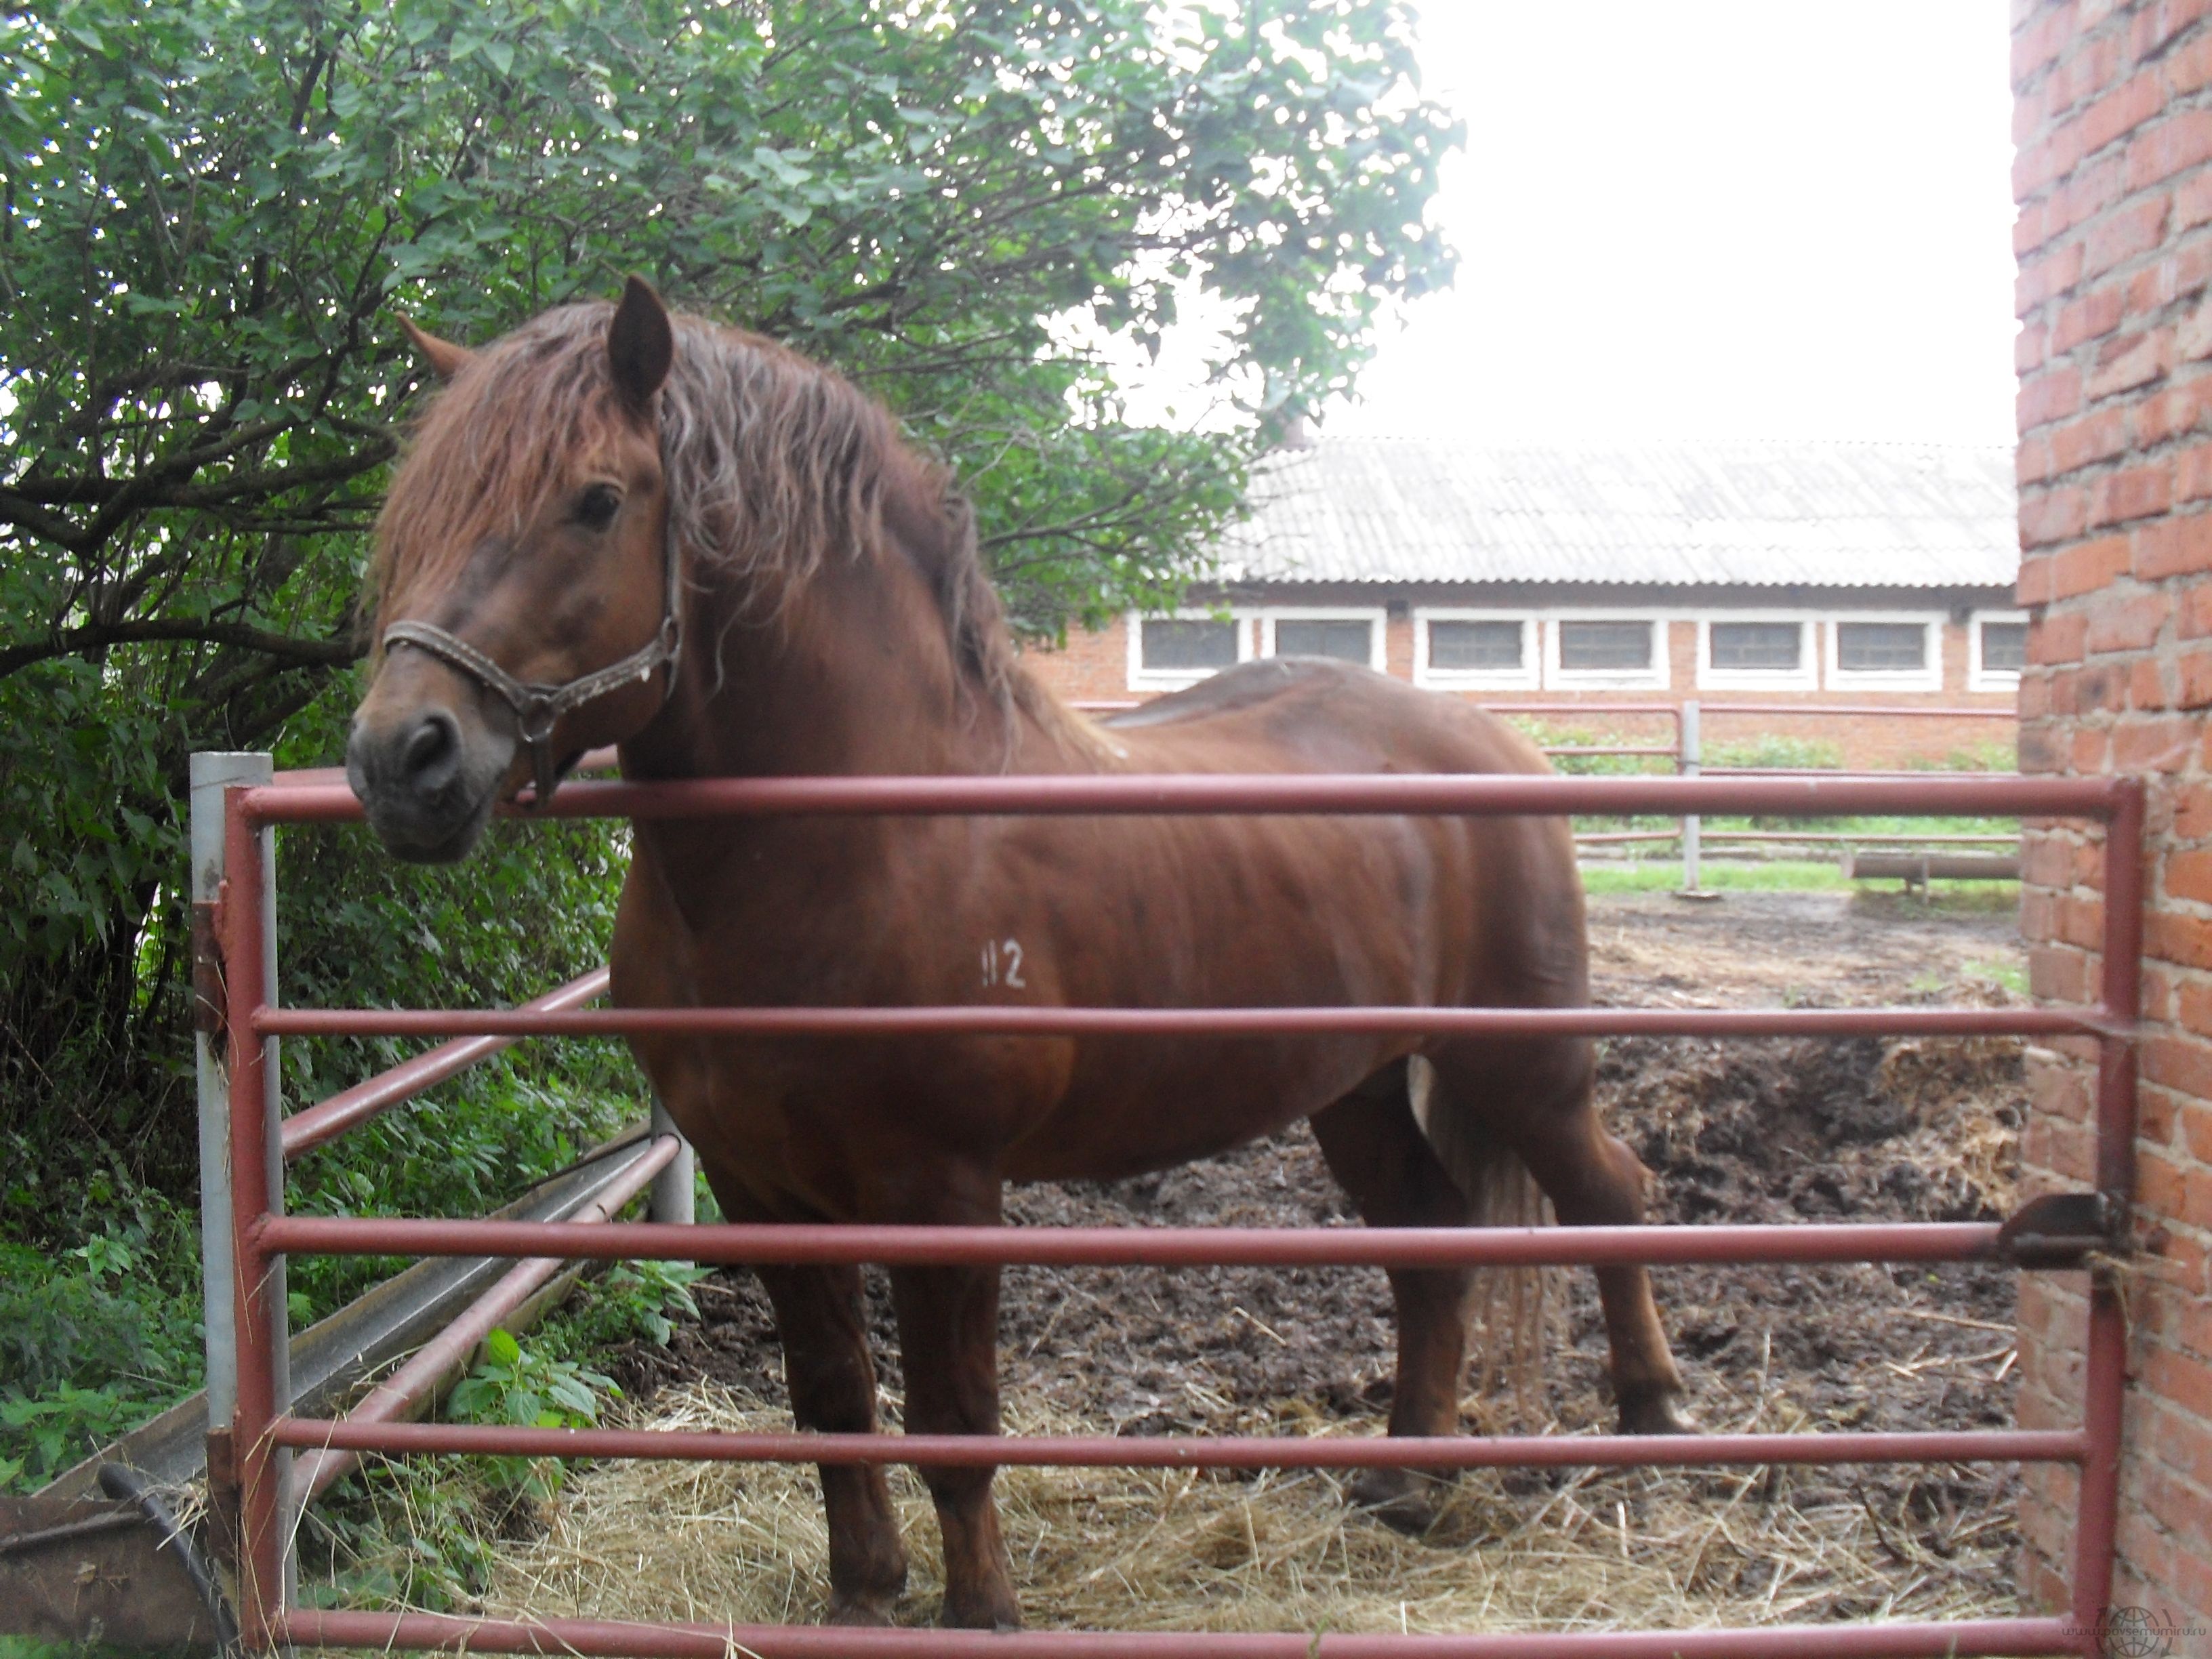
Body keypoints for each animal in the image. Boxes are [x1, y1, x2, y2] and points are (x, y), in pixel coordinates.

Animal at [349, 279, 1689, 1628]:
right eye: (413, 513)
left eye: (596, 499)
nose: (398, 759)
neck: (864, 833)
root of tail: (1489, 739)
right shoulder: (758, 1182)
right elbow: (832, 1396)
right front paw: (862, 1593)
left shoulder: (942, 1189)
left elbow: (953, 1419)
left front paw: (980, 1607)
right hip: (1353, 1085)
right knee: (1432, 1243)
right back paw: (1407, 1480)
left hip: (1519, 1064)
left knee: (1607, 1193)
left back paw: (1652, 1420)